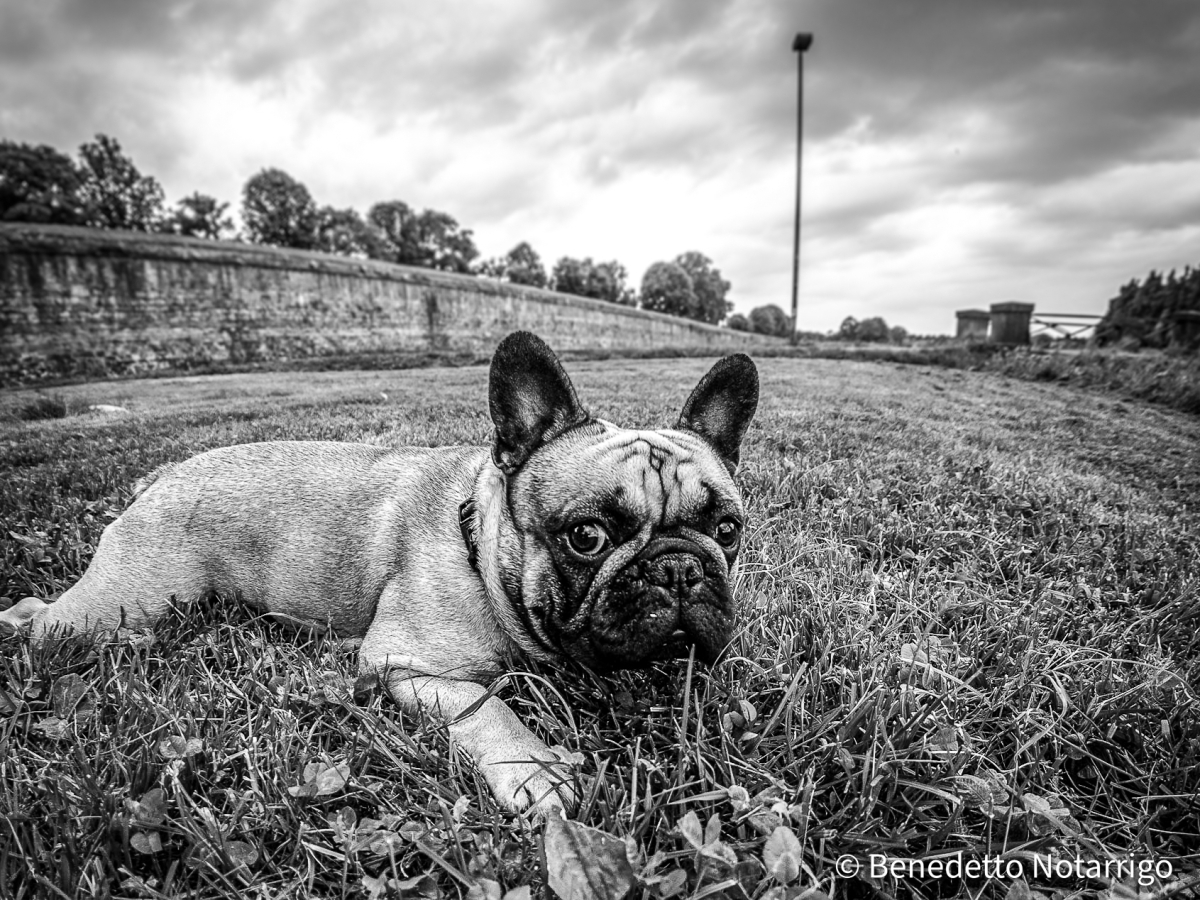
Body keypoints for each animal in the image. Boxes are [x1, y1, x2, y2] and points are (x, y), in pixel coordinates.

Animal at [1, 331, 759, 817]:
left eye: (728, 530)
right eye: (588, 536)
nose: (680, 569)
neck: (481, 551)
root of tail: (163, 475)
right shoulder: (407, 665)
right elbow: (492, 707)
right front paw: (536, 771)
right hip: (115, 608)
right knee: (42, 621)